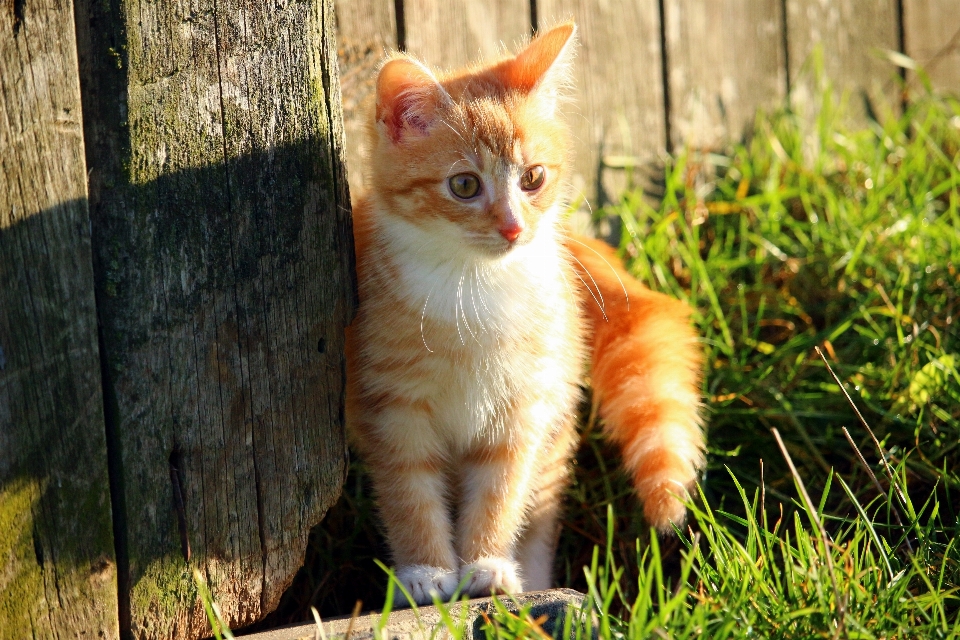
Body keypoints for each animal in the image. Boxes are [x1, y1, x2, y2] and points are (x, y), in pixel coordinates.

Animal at [344, 23, 704, 604]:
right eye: (464, 185)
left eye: (533, 177)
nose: (514, 228)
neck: (473, 285)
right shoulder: (391, 403)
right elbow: (408, 490)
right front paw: (425, 572)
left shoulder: (523, 406)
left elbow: (501, 489)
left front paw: (487, 564)